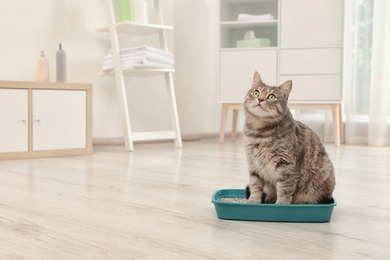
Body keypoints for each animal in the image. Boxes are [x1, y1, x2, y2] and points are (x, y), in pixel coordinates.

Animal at [244, 72, 336, 204]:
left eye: (271, 96)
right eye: (256, 92)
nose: (260, 99)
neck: (258, 132)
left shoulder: (286, 165)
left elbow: (284, 189)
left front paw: (281, 205)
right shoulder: (253, 164)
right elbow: (255, 185)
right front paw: (253, 201)